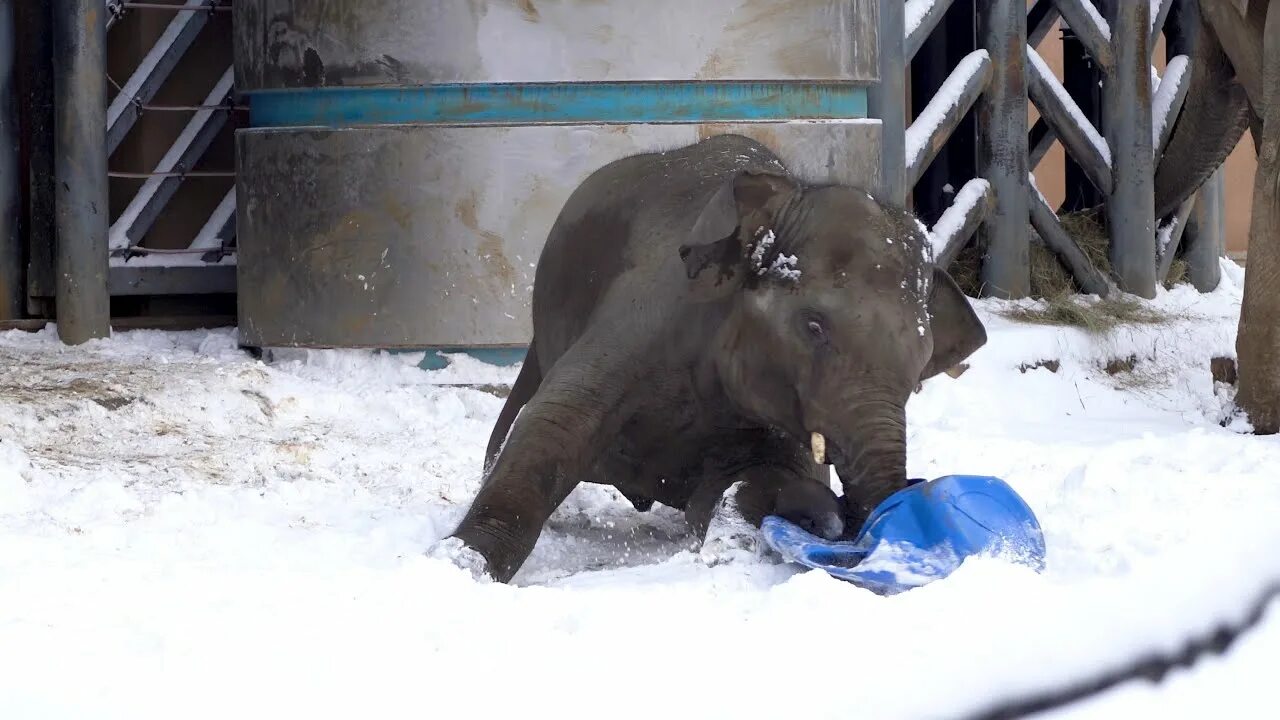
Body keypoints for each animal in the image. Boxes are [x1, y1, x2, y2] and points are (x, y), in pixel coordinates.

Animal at [435, 135, 983, 584]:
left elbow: (750, 480)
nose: (862, 518)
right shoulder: (644, 315)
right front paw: (462, 564)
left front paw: (799, 511)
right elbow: (551, 425)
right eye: (813, 326)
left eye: (920, 366)